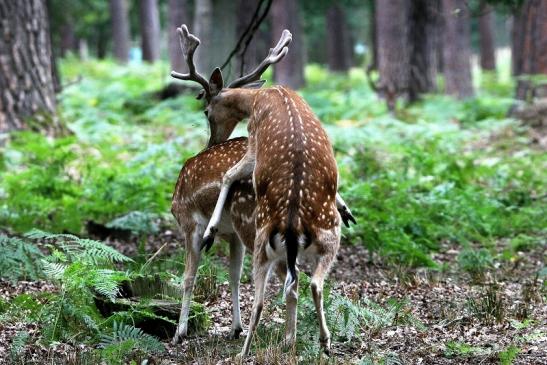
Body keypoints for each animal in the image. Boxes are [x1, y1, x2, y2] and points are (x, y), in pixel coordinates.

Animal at [169, 24, 356, 352]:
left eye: (206, 111)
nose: (210, 143)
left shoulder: (189, 221)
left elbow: (189, 276)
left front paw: (180, 332)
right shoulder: (233, 236)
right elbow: (232, 275)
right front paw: (234, 327)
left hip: (256, 231)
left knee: (276, 287)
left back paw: (256, 347)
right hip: (325, 237)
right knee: (304, 281)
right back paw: (308, 340)